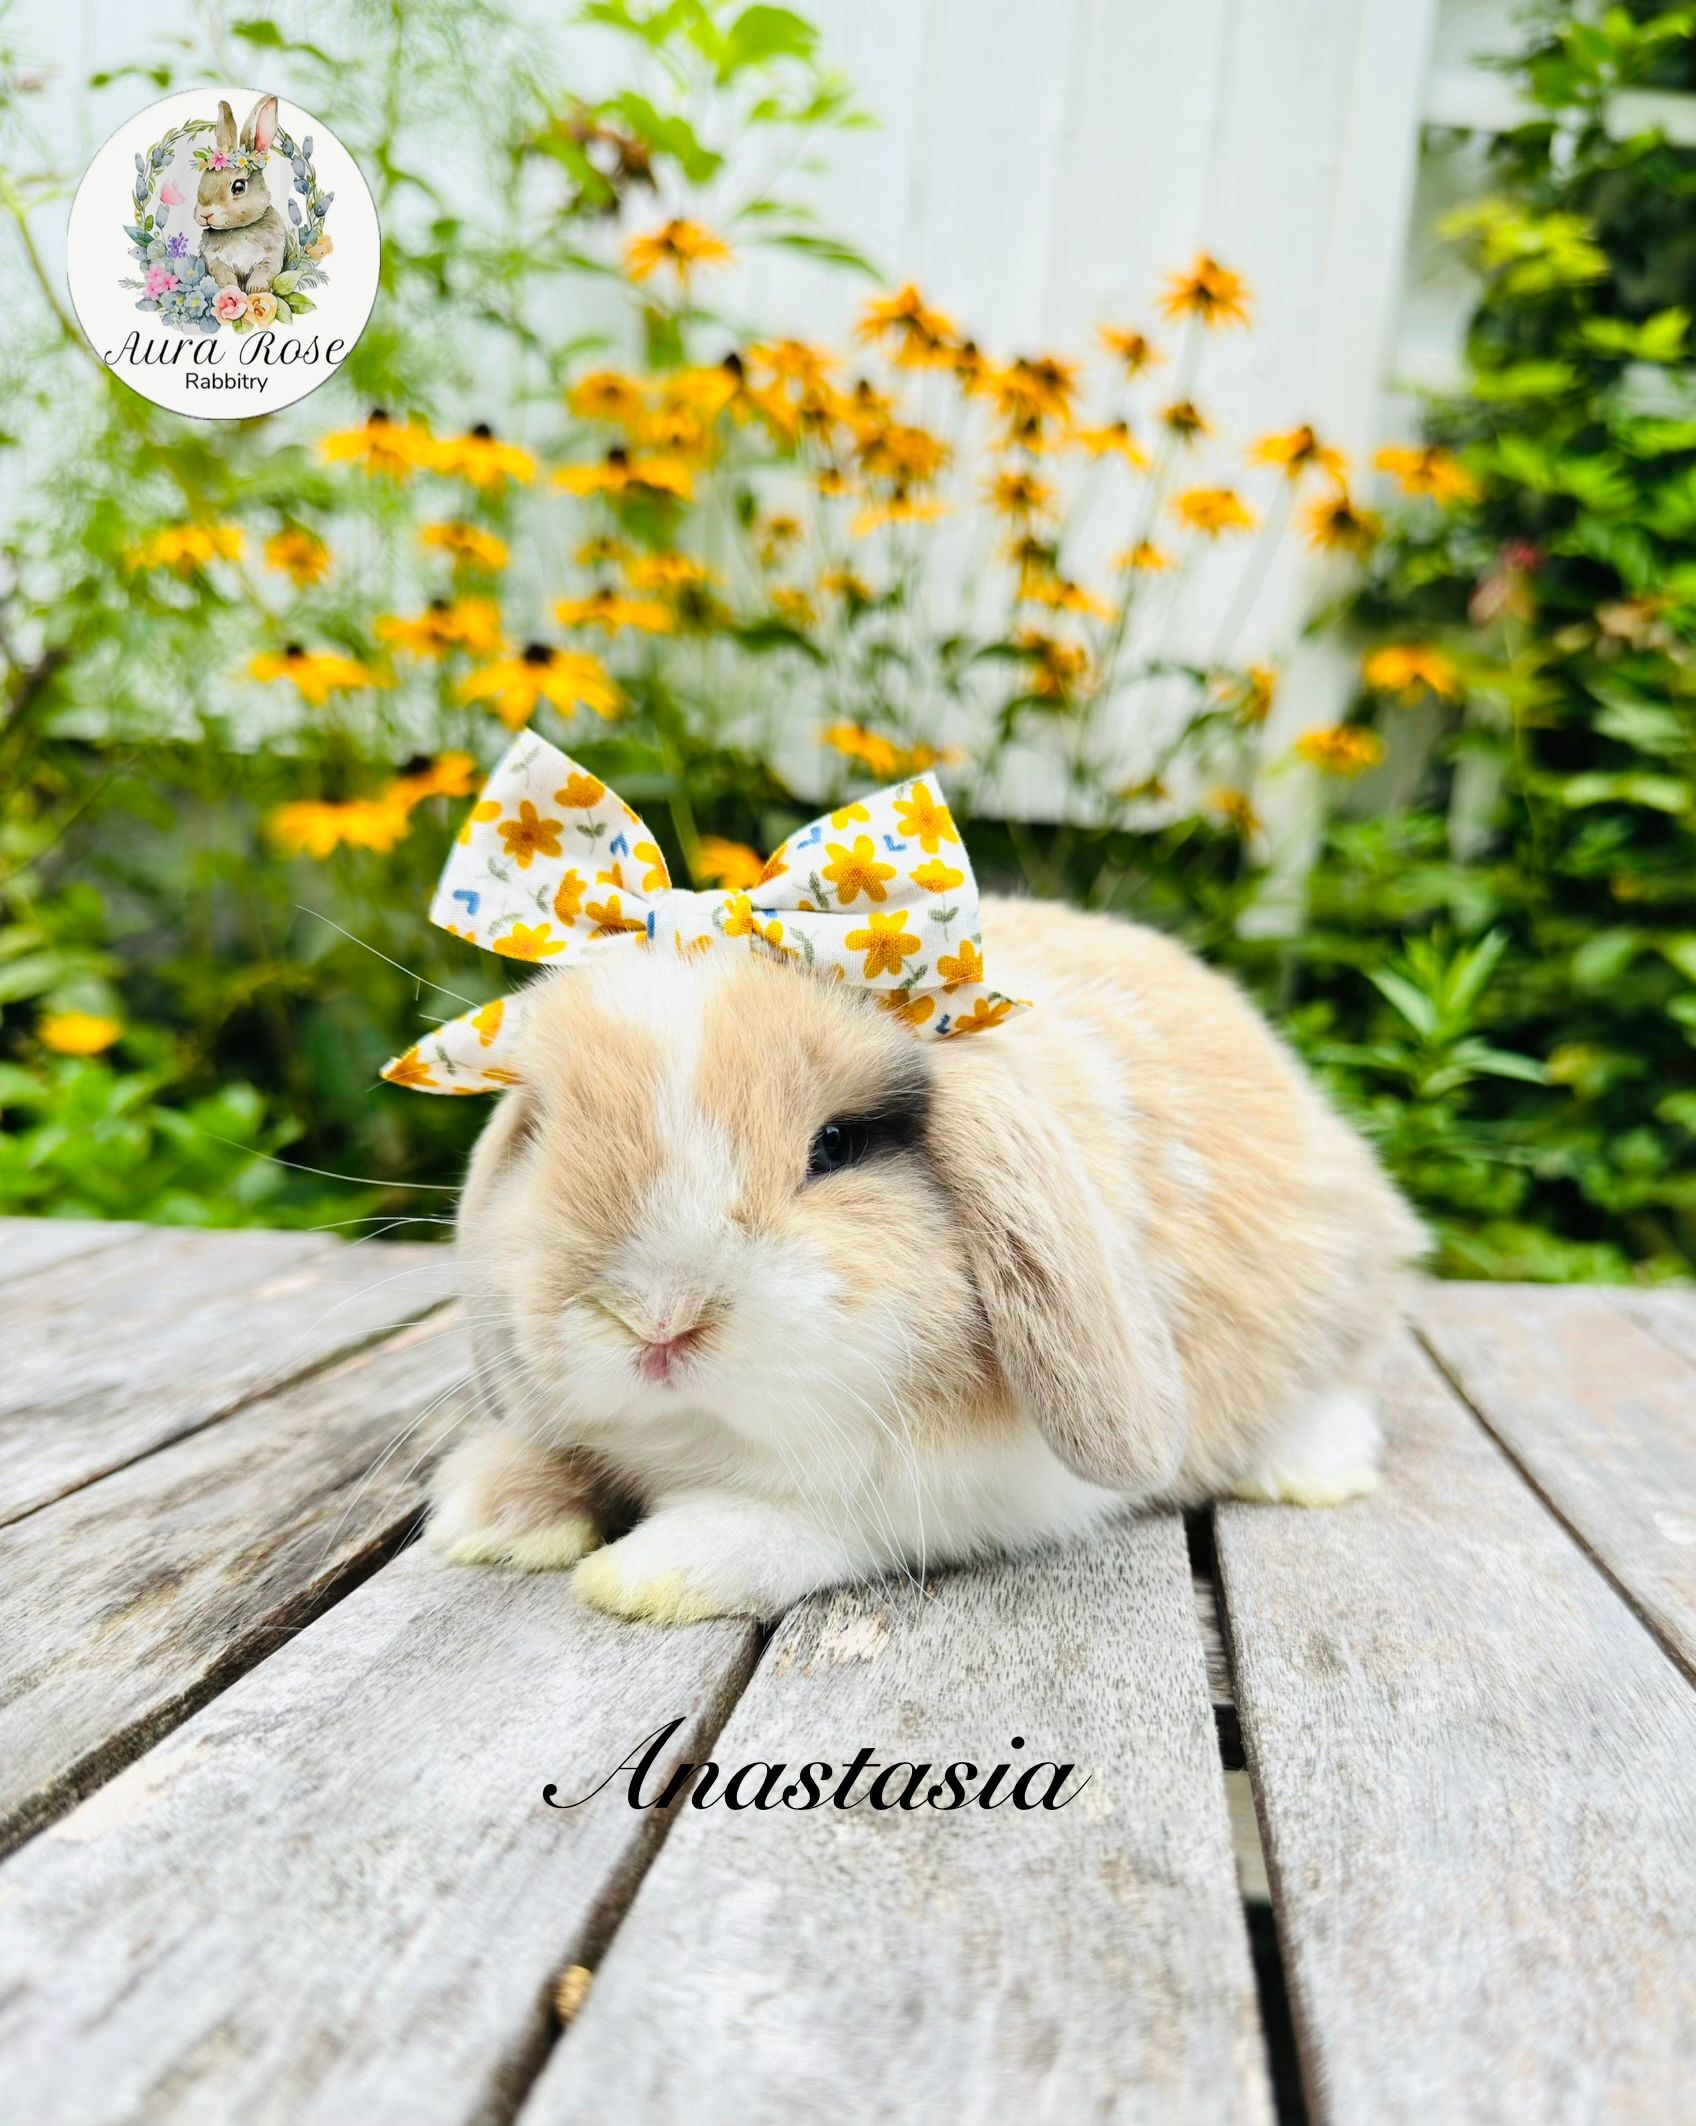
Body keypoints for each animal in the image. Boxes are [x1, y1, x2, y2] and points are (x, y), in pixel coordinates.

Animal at [196, 97, 287, 295]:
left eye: (238, 187)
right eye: (203, 179)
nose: (204, 214)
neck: (238, 229)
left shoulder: (271, 257)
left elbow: (263, 273)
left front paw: (255, 290)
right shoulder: (216, 262)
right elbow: (225, 278)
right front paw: (232, 292)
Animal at [428, 893, 1424, 1624]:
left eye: (837, 1146)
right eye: (546, 1132)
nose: (658, 1319)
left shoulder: (985, 1492)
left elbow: (808, 1523)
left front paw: (651, 1573)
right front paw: (493, 1518)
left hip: (1338, 1282)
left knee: (1344, 1380)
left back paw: (1306, 1472)